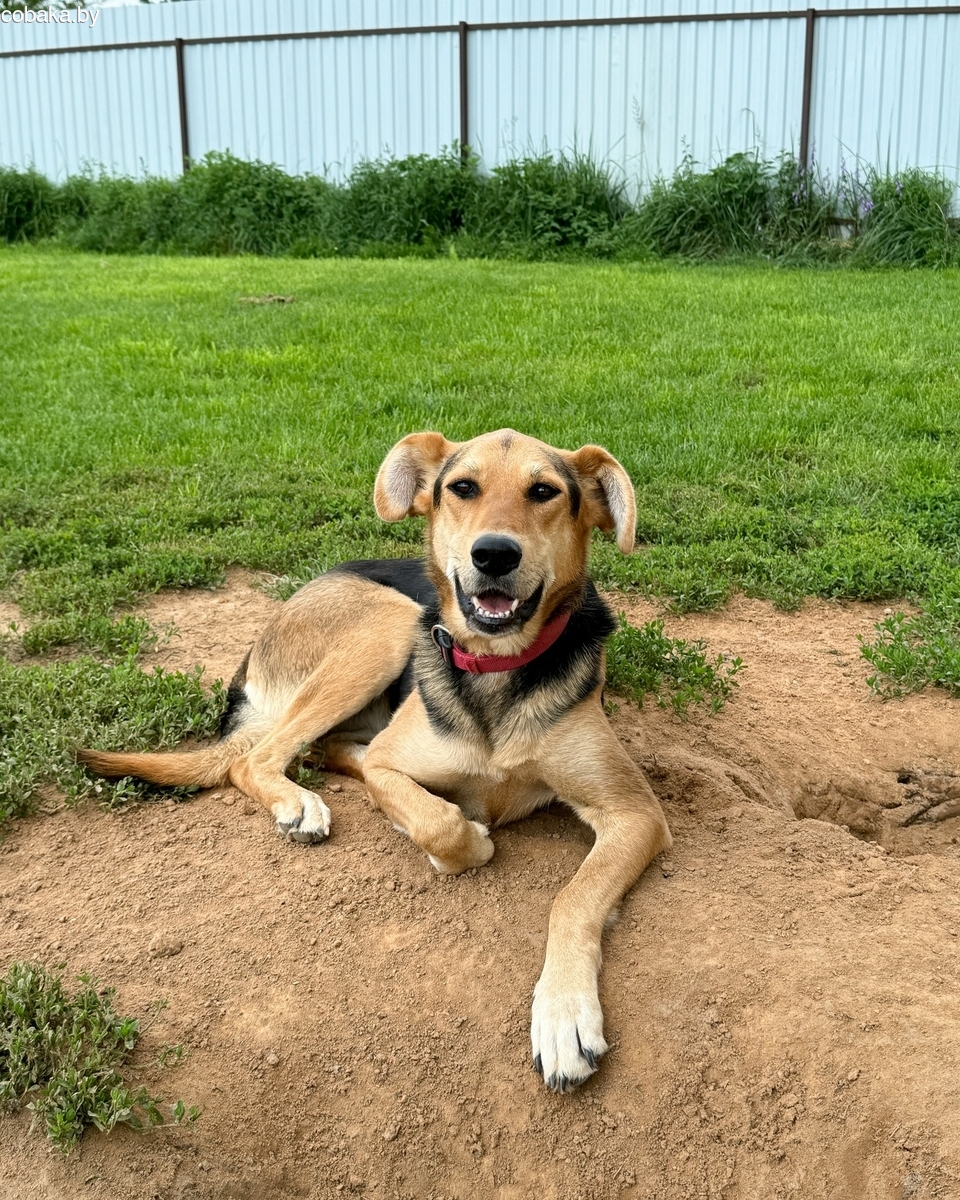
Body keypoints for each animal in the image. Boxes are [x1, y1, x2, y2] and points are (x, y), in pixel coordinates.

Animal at [79, 429, 672, 1092]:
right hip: (387, 626)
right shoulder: (394, 762)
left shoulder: (635, 813)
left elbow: (573, 897)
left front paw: (564, 1015)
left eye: (543, 492)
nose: (494, 554)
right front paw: (460, 836)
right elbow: (441, 824)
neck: (498, 667)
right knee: (255, 758)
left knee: (318, 748)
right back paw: (299, 804)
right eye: (462, 487)